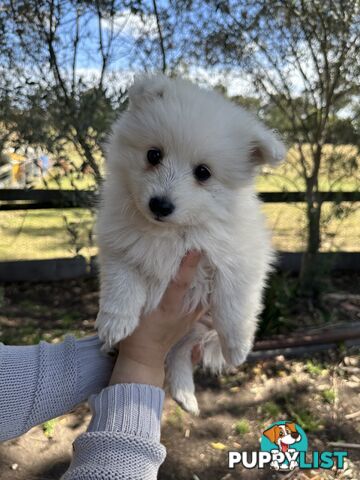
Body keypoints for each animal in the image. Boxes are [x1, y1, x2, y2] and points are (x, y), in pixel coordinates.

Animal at [96, 74, 286, 412]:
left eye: (203, 172)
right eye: (153, 155)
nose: (160, 205)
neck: (174, 231)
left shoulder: (239, 261)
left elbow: (233, 305)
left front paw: (237, 348)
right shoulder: (120, 249)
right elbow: (122, 287)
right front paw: (114, 327)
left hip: (194, 328)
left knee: (179, 352)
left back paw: (185, 393)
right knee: (175, 353)